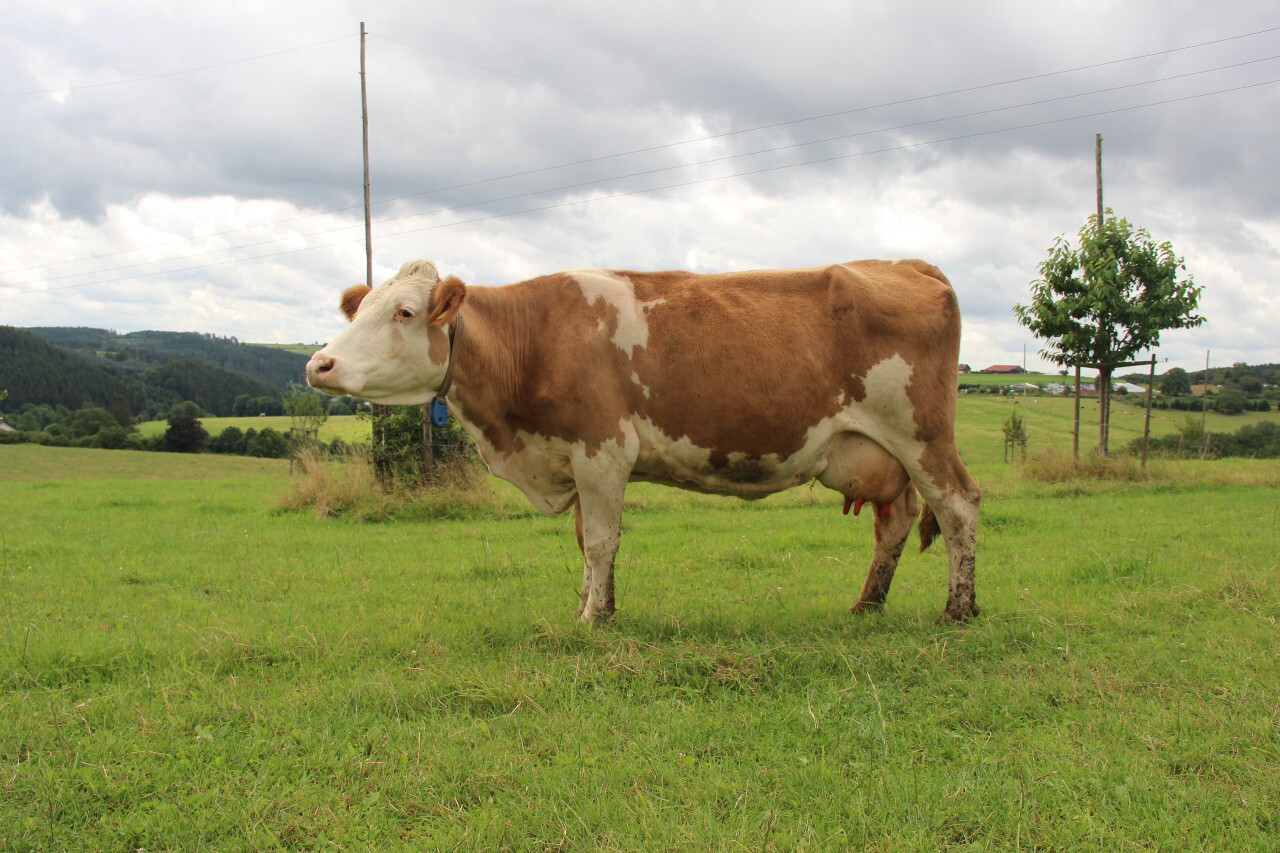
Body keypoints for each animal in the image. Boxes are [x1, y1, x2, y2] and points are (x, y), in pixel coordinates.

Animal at [304, 256, 983, 622]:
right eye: (359, 309)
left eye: (404, 312)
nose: (318, 364)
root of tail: (903, 263)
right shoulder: (574, 459)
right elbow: (584, 542)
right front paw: (587, 605)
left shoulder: (602, 451)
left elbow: (603, 541)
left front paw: (593, 618)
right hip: (883, 454)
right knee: (896, 522)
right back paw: (868, 605)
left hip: (922, 436)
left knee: (958, 507)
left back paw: (959, 609)